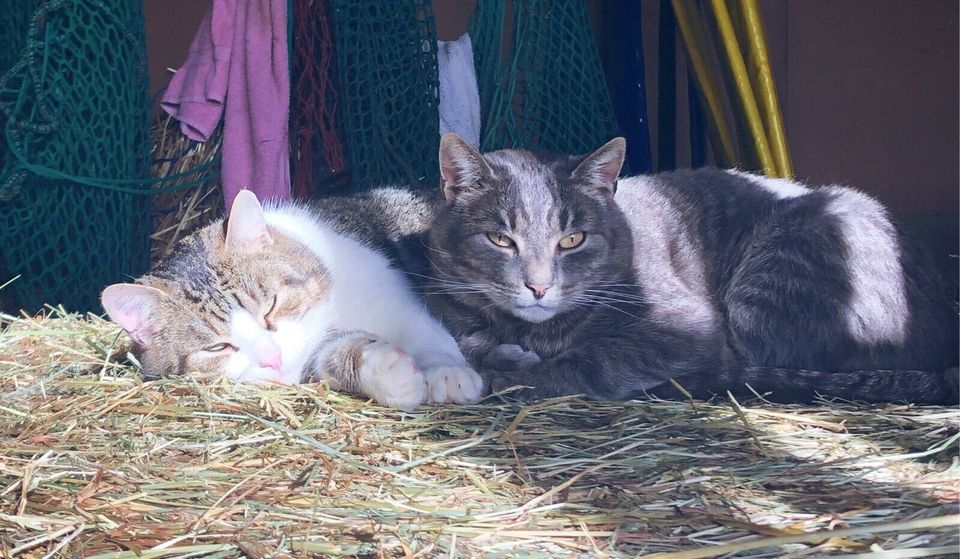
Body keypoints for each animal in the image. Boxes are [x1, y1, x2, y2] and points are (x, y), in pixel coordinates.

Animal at [101, 190, 484, 410]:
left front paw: (447, 371)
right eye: (216, 348)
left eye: (271, 305)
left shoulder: (392, 301)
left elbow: (423, 331)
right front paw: (384, 373)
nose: (271, 359)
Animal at [318, 136, 956, 406]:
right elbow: (465, 337)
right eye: (500, 237)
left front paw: (520, 370)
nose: (539, 285)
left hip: (768, 285)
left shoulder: (687, 328)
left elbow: (592, 358)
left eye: (572, 238)